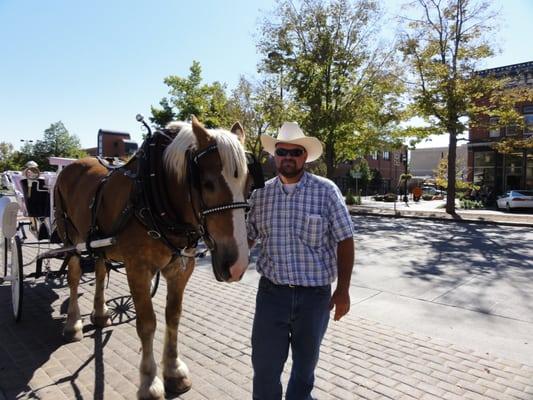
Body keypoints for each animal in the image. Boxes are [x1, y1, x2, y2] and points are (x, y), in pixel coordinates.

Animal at [55, 117, 255, 398]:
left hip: (99, 244)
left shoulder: (182, 268)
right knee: (73, 277)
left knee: (100, 270)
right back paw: (73, 324)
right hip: (70, 239)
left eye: (249, 185)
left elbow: (174, 316)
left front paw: (174, 371)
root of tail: (70, 166)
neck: (154, 193)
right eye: (207, 184)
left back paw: (101, 313)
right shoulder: (137, 269)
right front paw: (149, 382)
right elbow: (147, 323)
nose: (237, 266)